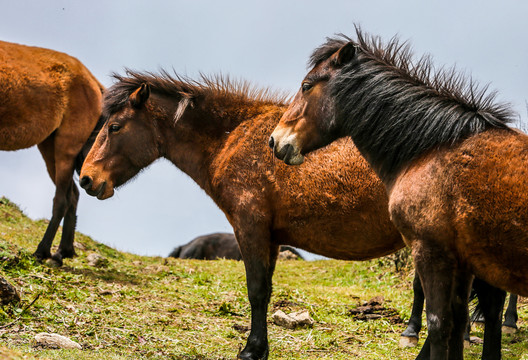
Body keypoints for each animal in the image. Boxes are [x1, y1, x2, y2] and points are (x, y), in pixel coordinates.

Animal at [0, 40, 104, 264]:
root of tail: (93, 81)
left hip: (66, 148)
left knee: (62, 199)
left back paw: (43, 251)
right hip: (49, 146)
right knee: (73, 194)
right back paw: (63, 251)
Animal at [272, 26, 528, 358]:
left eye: (306, 86)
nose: (275, 140)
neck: (428, 152)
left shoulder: (431, 252)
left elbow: (440, 324)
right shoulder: (462, 261)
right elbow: (459, 321)